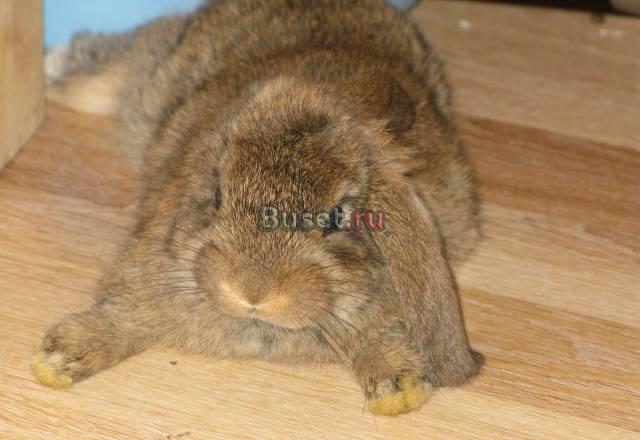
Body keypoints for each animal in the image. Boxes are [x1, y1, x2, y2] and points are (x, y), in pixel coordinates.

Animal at [36, 0, 483, 416]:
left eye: (338, 217)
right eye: (219, 194)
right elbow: (124, 316)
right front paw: (57, 360)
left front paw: (399, 387)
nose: (252, 290)